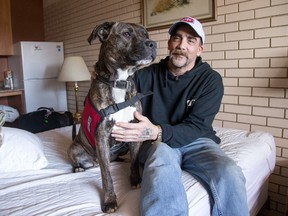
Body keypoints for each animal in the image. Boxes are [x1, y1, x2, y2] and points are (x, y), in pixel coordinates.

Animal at [67, 22, 156, 213]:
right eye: (127, 34)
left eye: (146, 34)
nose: (153, 43)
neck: (119, 82)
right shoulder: (101, 135)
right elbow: (106, 175)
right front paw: (109, 201)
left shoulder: (134, 130)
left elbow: (134, 161)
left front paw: (135, 180)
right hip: (75, 148)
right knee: (85, 161)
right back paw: (78, 168)